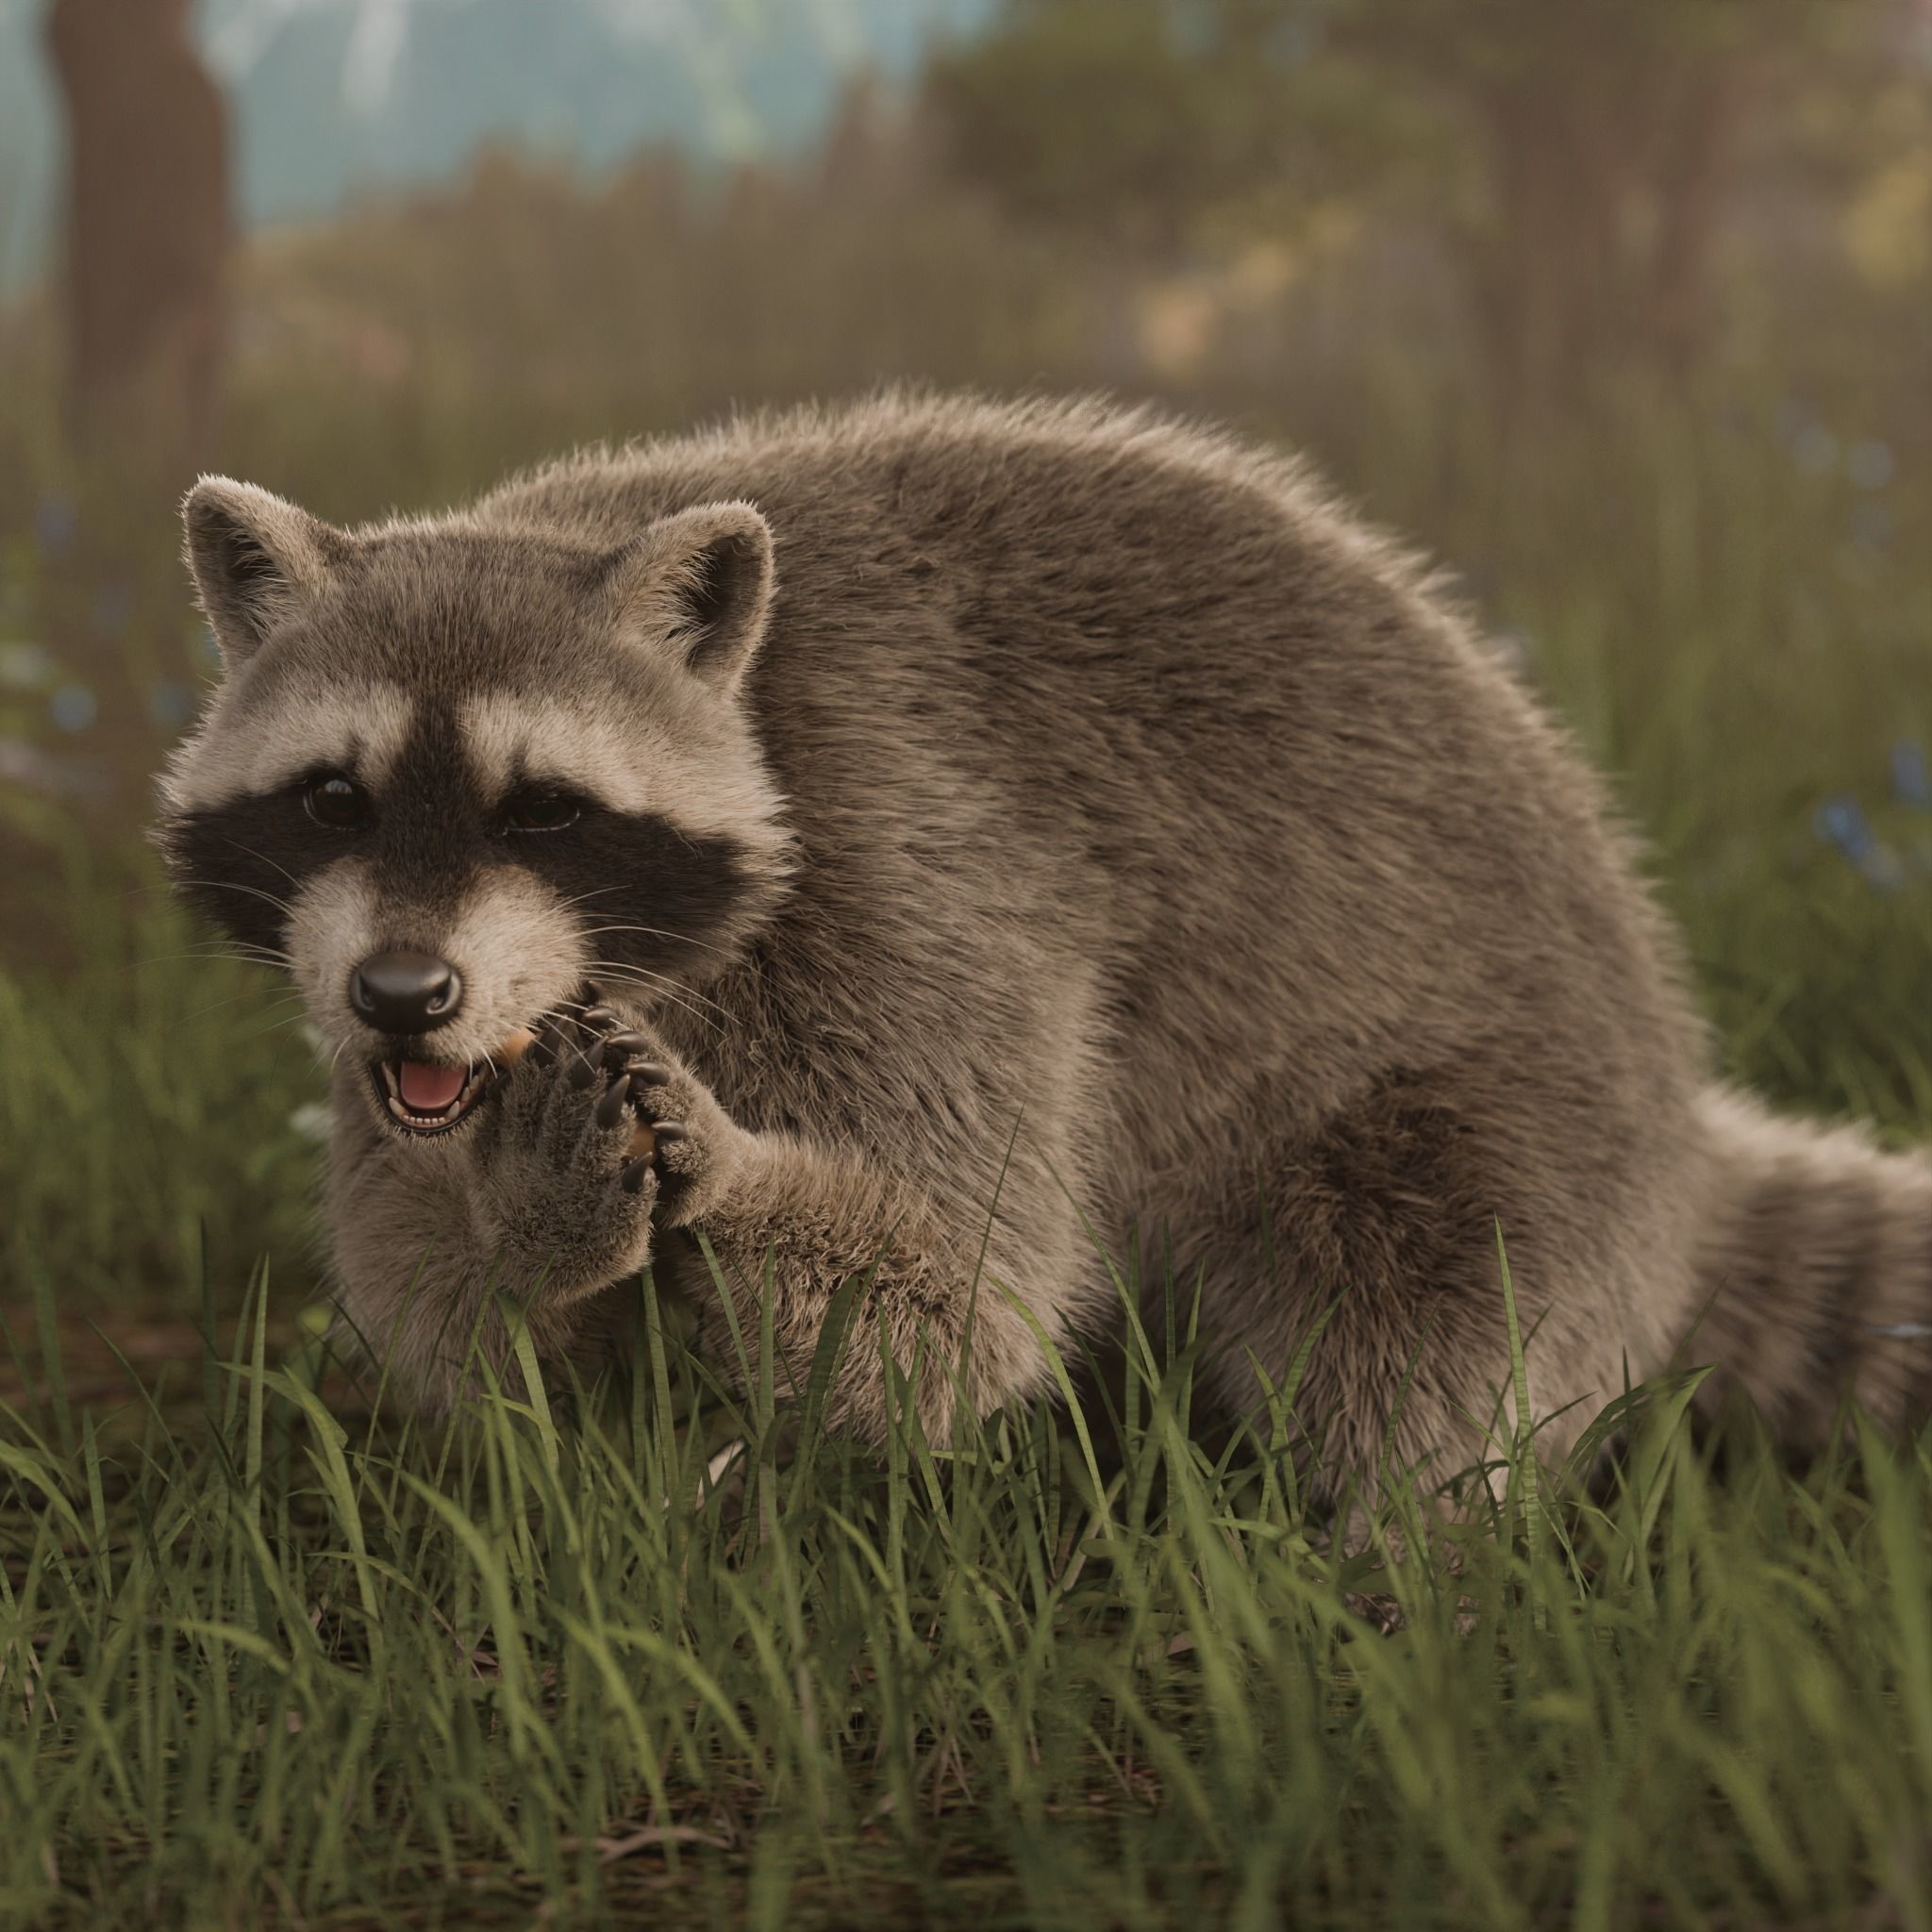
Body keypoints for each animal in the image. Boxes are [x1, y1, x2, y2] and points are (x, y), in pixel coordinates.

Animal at [155, 392, 1932, 1493]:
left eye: (544, 811)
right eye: (332, 796)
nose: (407, 994)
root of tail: (1676, 1110)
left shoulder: (920, 861)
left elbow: (965, 1300)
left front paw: (740, 1172)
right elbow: (452, 1322)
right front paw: (526, 1231)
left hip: (1500, 1079)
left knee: (1440, 1301)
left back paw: (1394, 1542)